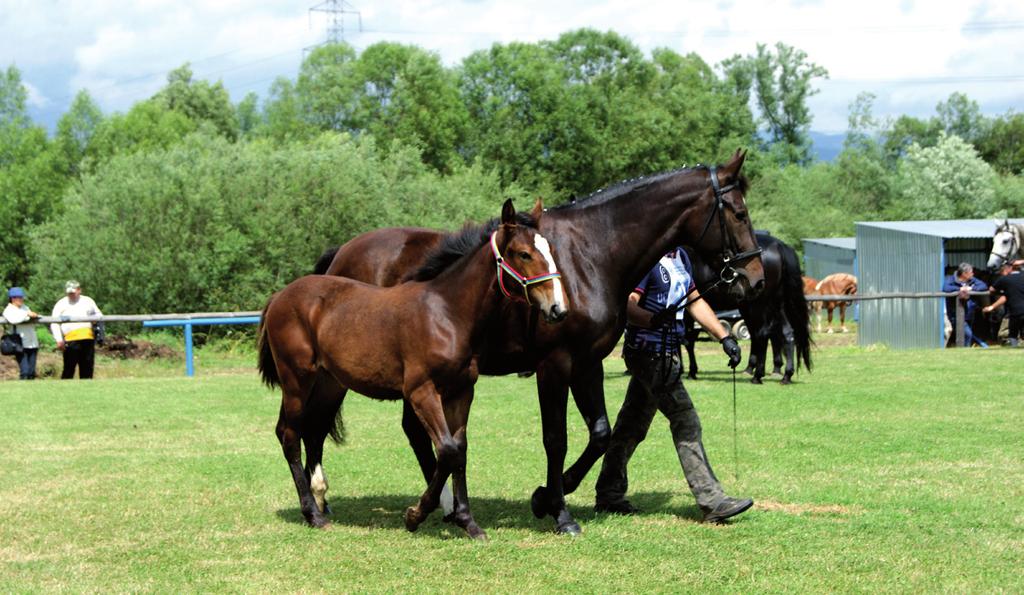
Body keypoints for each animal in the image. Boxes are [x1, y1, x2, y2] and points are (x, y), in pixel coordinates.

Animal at [258, 199, 569, 536]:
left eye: (550, 249)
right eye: (523, 254)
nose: (558, 308)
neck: (446, 313)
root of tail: (280, 296)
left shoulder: (461, 392)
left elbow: (460, 450)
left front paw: (468, 522)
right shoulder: (422, 392)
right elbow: (446, 450)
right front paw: (416, 515)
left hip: (329, 383)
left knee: (313, 430)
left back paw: (318, 502)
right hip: (297, 380)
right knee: (289, 434)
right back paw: (313, 514)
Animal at [315, 149, 765, 532]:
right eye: (739, 213)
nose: (755, 279)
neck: (591, 255)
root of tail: (341, 254)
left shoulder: (587, 363)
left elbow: (601, 433)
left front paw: (548, 495)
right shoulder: (555, 364)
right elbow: (556, 439)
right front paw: (559, 510)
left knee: (416, 431)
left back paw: (443, 506)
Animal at [684, 232, 811, 385]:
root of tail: (778, 245)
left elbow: (687, 341)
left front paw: (690, 371)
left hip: (760, 306)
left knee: (763, 334)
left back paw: (758, 375)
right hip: (775, 304)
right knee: (786, 333)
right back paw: (784, 375)